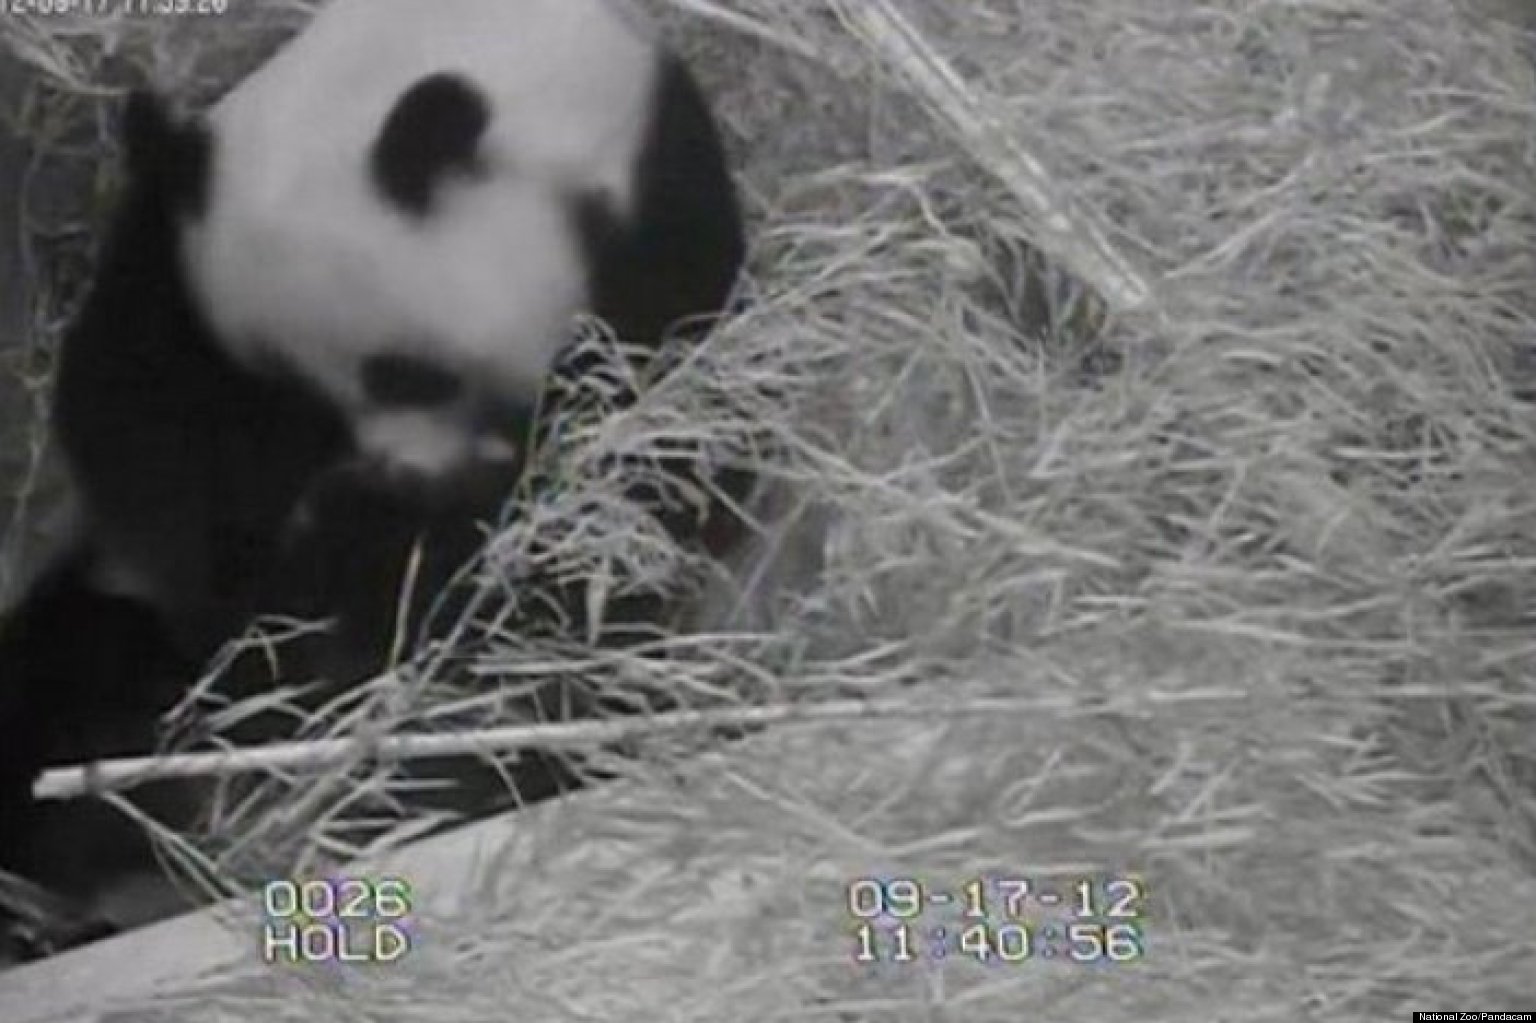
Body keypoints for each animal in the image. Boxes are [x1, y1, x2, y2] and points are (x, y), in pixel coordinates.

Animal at [0, 0, 749, 958]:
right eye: (283, 386)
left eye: (406, 373)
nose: (389, 475)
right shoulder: (166, 298)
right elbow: (146, 436)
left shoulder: (660, 224)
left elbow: (633, 491)